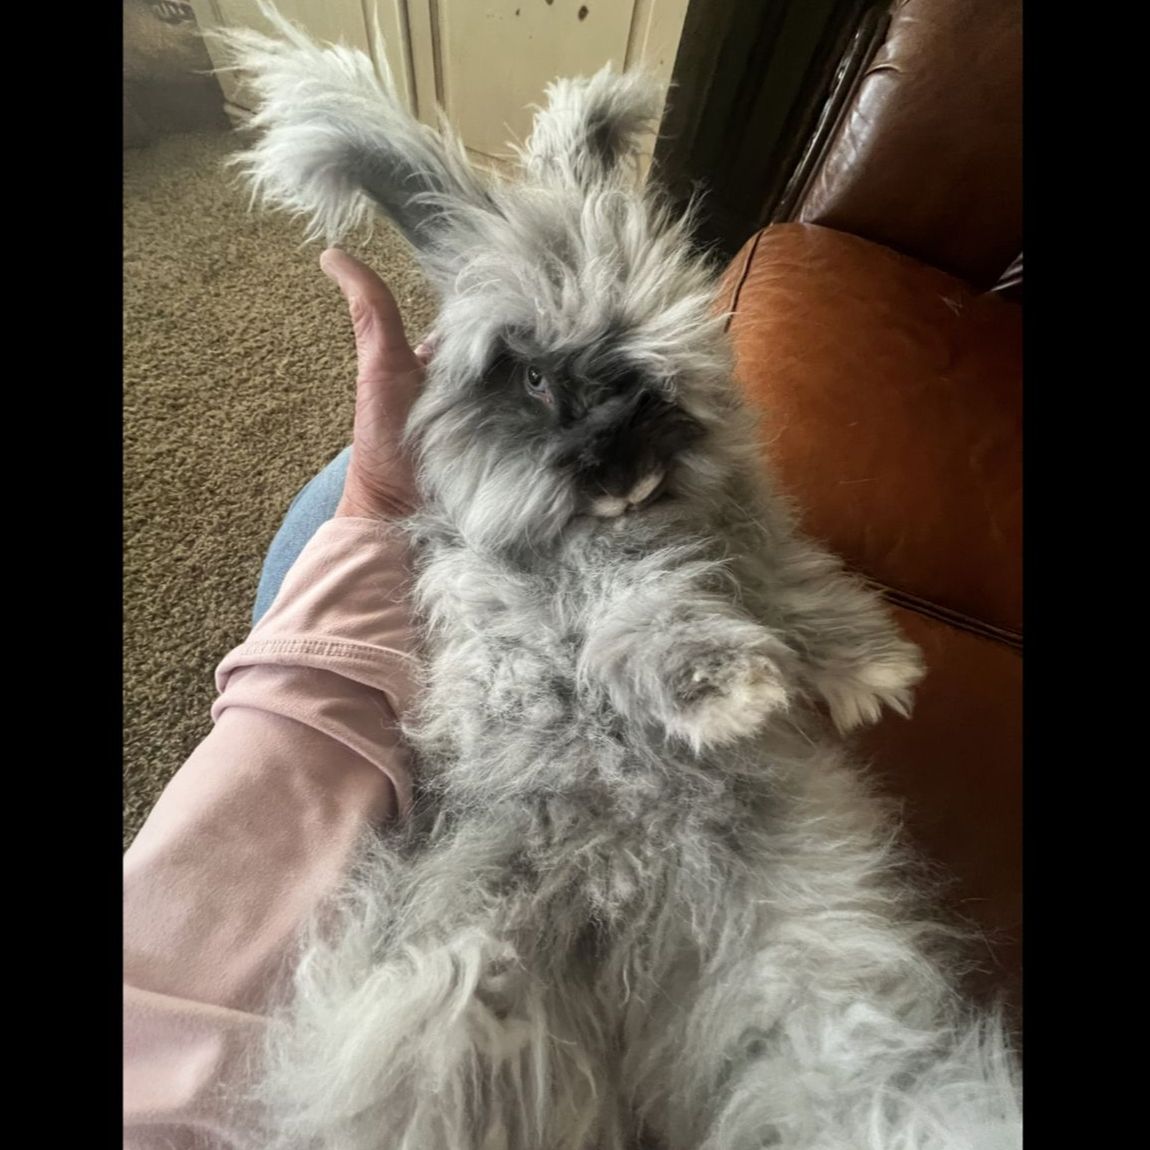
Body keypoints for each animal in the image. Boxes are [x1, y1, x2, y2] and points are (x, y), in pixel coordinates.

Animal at [219, 7, 1021, 1149]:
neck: (633, 520)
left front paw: (871, 674)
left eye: (648, 367)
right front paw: (732, 692)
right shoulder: (589, 581)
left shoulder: (754, 530)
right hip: (444, 975)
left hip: (818, 975)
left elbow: (794, 584)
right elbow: (647, 610)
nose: (619, 461)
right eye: (531, 375)